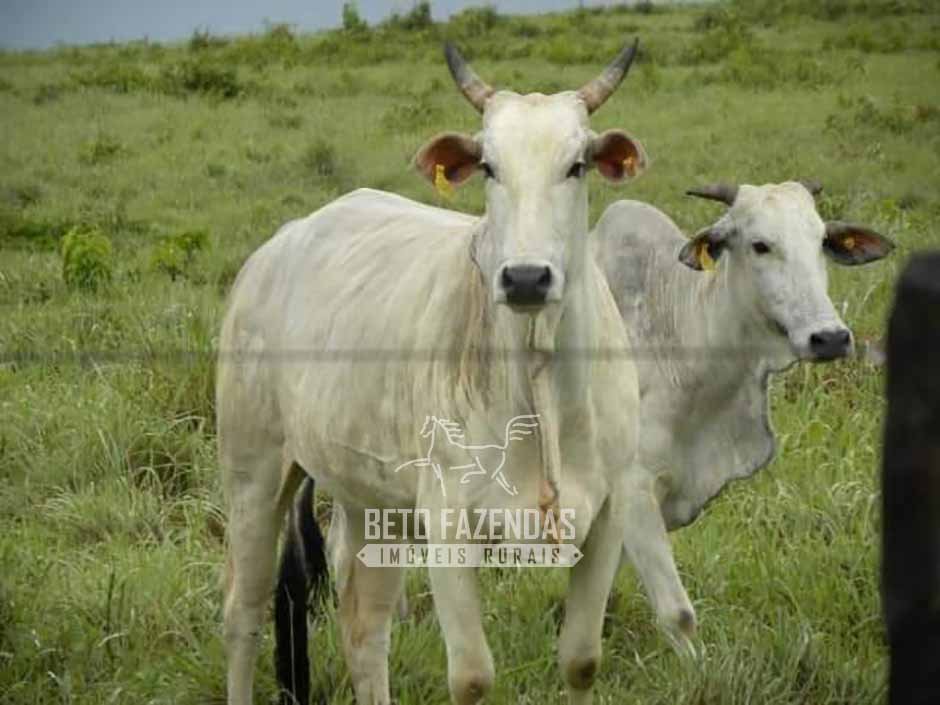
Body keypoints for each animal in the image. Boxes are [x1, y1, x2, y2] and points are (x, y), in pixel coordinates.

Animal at [218, 40, 661, 705]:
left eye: (577, 165)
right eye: (489, 168)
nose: (525, 278)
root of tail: (273, 250)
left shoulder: (607, 515)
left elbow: (581, 660)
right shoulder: (449, 525)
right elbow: (472, 676)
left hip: (368, 496)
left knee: (364, 625)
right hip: (254, 472)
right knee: (244, 612)